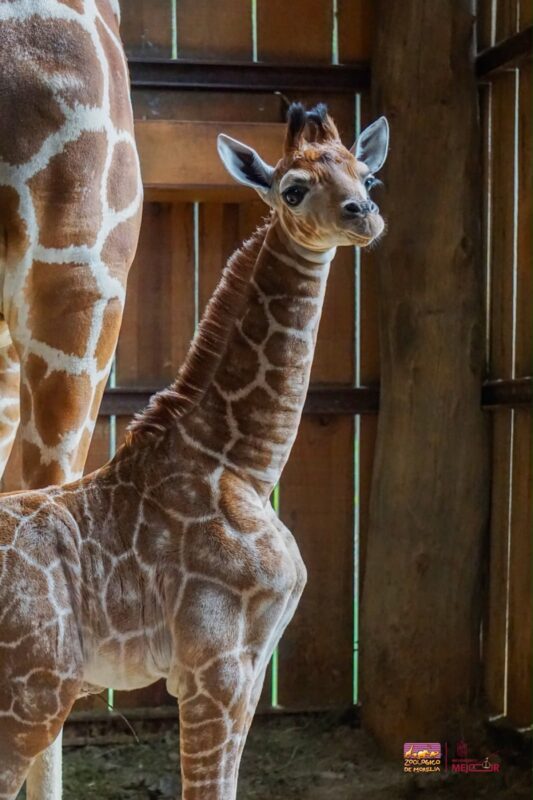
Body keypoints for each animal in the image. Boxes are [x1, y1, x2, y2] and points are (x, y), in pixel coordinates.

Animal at [0, 104, 388, 800]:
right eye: (292, 189)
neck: (239, 464)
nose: (364, 215)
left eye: (367, 175)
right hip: (32, 693)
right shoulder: (215, 664)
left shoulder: (252, 665)